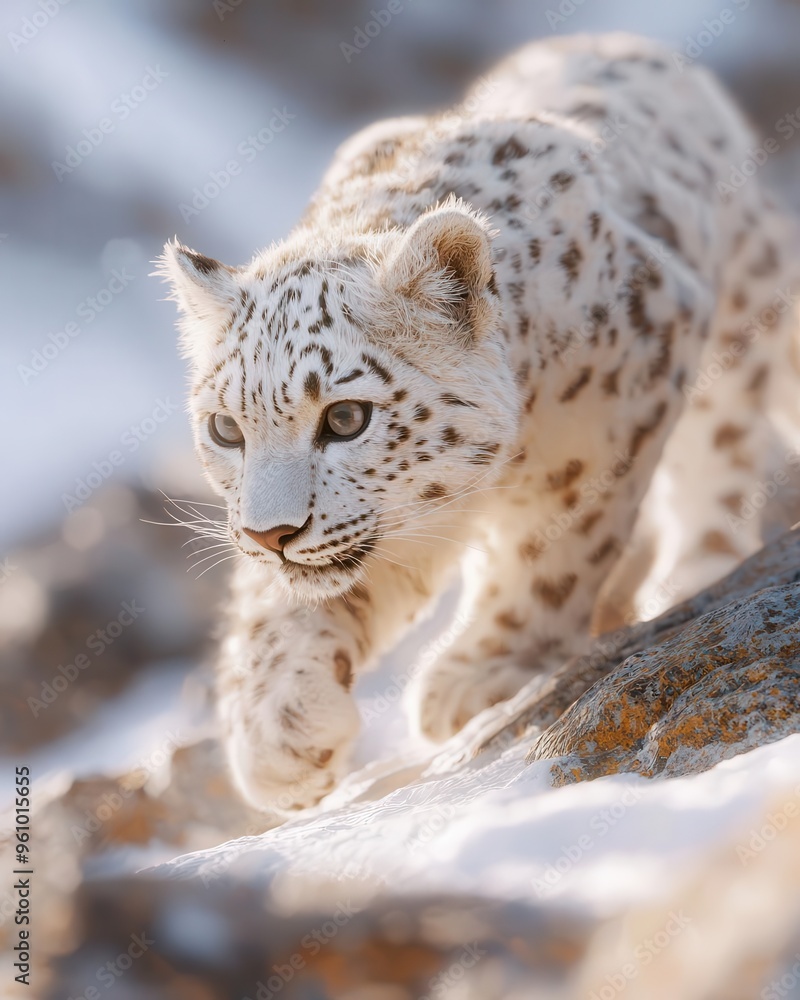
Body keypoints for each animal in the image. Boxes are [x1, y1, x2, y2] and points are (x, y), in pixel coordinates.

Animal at [158, 32, 800, 812]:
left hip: (740, 308)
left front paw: (481, 672)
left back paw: (695, 569)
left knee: (725, 438)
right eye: (227, 429)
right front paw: (280, 729)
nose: (270, 535)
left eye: (345, 418)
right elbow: (280, 606)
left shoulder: (627, 392)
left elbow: (555, 544)